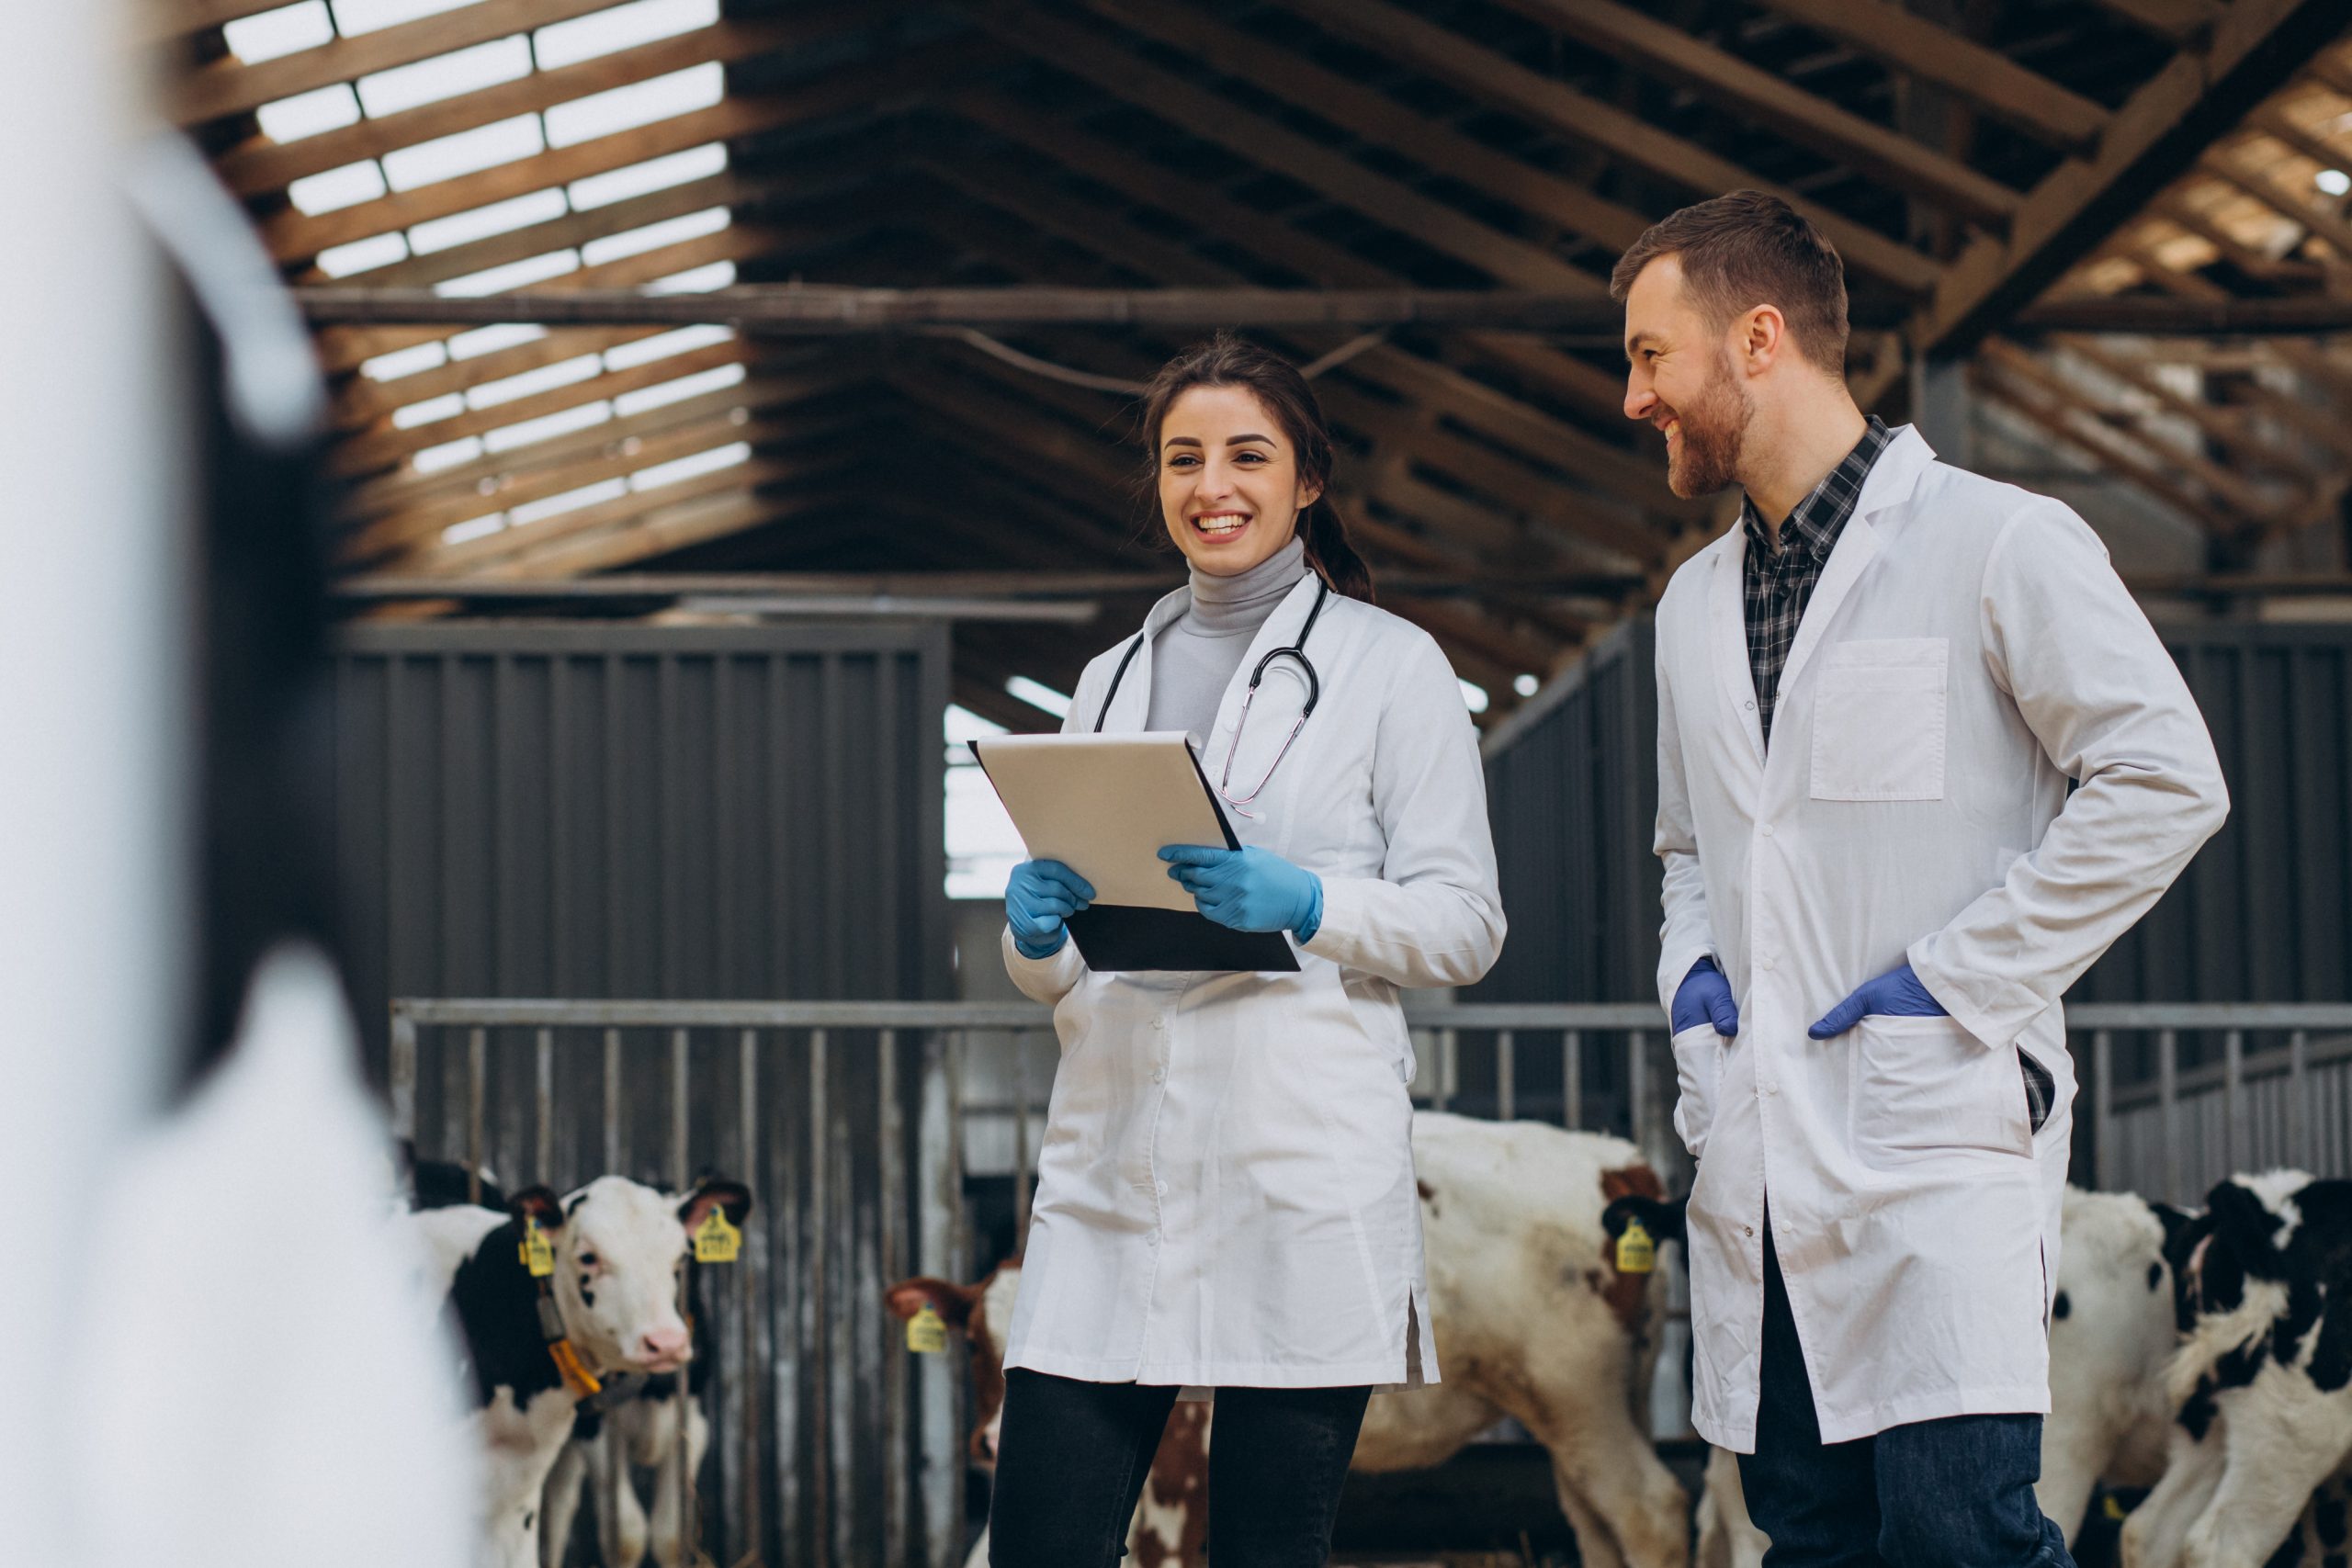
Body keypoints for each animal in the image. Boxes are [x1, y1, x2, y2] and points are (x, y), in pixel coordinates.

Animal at [884, 1109, 1693, 1568]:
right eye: (974, 1344)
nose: (992, 1440)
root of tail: (1619, 1162)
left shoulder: (1182, 1466)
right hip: (1579, 1409)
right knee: (1598, 1525)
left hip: (1578, 1394)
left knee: (1648, 1511)